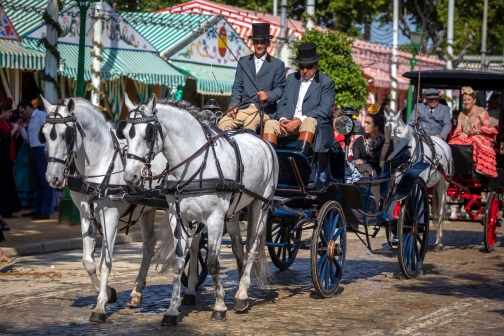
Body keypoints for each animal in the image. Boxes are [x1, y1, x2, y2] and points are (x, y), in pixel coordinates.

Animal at [38, 97, 200, 322]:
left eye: (66, 135)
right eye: (44, 134)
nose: (52, 178)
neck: (102, 161)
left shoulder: (110, 215)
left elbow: (105, 262)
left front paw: (100, 307)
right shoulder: (85, 213)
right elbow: (88, 261)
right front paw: (109, 293)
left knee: (194, 245)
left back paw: (191, 290)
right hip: (147, 209)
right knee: (149, 245)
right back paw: (136, 292)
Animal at [120, 93, 278, 324]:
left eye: (148, 133)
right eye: (124, 133)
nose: (130, 176)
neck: (195, 164)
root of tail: (263, 141)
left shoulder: (214, 218)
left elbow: (213, 262)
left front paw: (219, 306)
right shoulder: (178, 216)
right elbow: (179, 261)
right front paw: (171, 310)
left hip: (261, 204)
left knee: (253, 246)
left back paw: (242, 294)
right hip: (233, 211)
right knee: (238, 246)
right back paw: (240, 284)